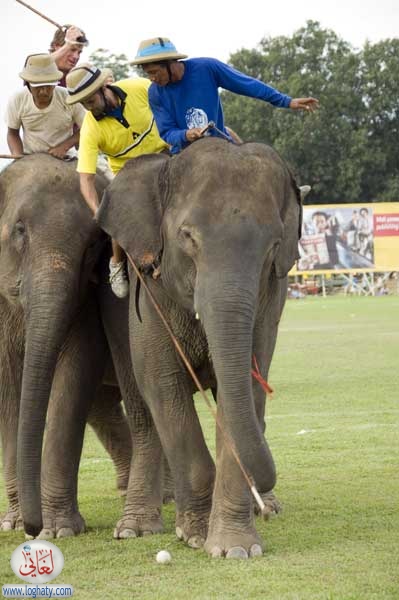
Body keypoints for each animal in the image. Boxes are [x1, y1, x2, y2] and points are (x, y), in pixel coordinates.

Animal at [0, 155, 166, 540]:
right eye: (19, 230)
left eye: (92, 246)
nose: (32, 526)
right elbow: (7, 387)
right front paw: (14, 523)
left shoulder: (87, 302)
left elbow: (75, 372)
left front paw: (57, 530)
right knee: (103, 405)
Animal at [98, 138, 304, 560]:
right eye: (188, 237)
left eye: (273, 246)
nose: (263, 487)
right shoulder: (151, 290)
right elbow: (163, 387)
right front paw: (193, 534)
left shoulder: (269, 303)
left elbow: (243, 392)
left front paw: (235, 548)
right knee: (144, 415)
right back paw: (135, 527)